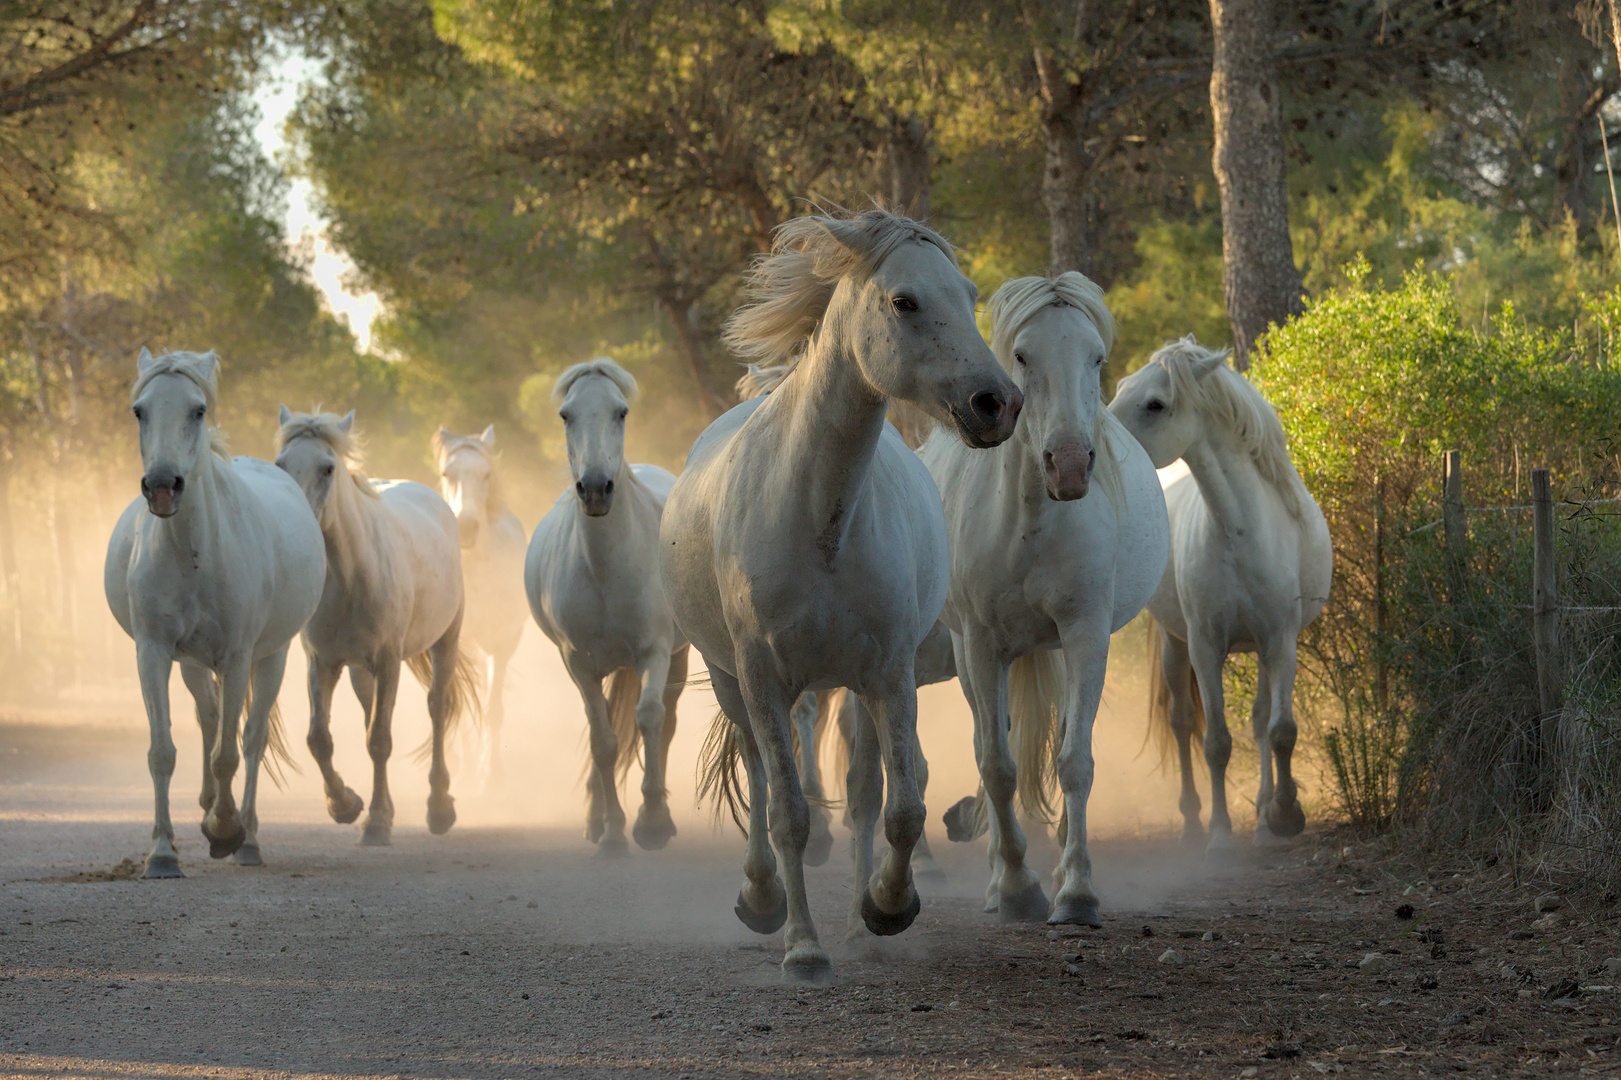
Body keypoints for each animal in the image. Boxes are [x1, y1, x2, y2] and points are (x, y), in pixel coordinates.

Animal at [104, 348, 325, 869]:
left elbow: (230, 752)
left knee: (252, 738)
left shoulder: (238, 656)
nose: (163, 486)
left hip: (272, 656)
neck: (194, 553)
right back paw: (207, 811)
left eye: (197, 409)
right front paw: (162, 852)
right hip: (192, 662)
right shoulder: (154, 651)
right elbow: (163, 751)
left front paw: (226, 830)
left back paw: (248, 840)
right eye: (139, 411)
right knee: (209, 720)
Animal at [275, 403, 476, 843]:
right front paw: (346, 805)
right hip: (359, 670)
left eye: (327, 468)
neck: (349, 575)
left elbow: (380, 740)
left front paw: (379, 820)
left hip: (446, 640)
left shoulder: (387, 660)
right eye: (280, 465)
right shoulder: (323, 662)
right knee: (370, 715)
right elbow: (320, 739)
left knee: (436, 708)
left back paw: (439, 807)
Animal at [664, 205, 1017, 979]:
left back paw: (858, 921)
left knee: (860, 793)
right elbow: (788, 811)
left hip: (848, 688)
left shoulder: (887, 674)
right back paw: (762, 899)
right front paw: (801, 946)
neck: (816, 516)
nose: (997, 403)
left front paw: (886, 907)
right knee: (759, 775)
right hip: (734, 679)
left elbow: (900, 806)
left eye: (968, 295)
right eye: (904, 300)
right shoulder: (763, 678)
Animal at [1108, 337, 1335, 849]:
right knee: (1181, 720)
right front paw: (1218, 833)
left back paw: (1263, 818)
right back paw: (1194, 820)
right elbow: (1215, 742)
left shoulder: (1280, 642)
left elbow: (1279, 730)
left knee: (1259, 720)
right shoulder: (1205, 646)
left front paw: (1283, 815)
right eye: (1120, 387)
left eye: (1154, 404)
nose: (1090, 448)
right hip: (1174, 645)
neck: (1240, 534)